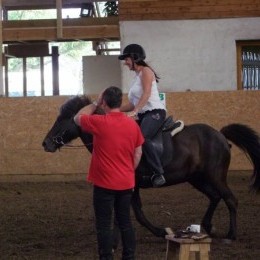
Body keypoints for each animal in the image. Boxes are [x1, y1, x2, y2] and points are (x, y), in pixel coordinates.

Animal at [41, 94, 260, 241]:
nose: (46, 143)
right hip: (196, 178)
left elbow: (138, 214)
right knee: (215, 197)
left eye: (63, 120)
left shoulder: (131, 185)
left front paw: (161, 231)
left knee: (230, 199)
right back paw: (209, 227)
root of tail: (220, 135)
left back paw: (231, 235)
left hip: (215, 176)